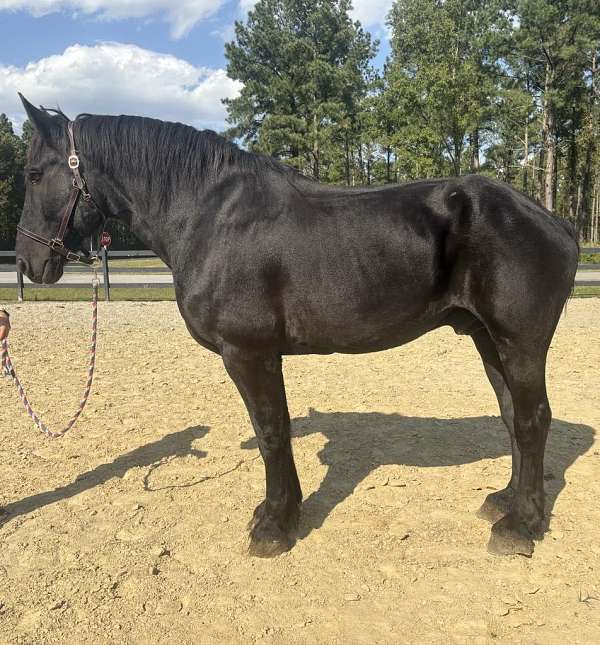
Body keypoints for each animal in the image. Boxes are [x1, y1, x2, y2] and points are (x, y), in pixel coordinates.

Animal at [12, 97, 576, 560]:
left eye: (36, 174)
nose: (27, 262)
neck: (207, 215)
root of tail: (553, 221)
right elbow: (276, 429)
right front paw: (278, 512)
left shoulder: (248, 352)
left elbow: (271, 432)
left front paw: (274, 526)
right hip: (486, 338)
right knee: (512, 417)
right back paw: (505, 502)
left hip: (520, 343)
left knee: (533, 420)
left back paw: (520, 526)